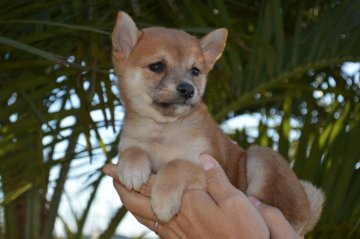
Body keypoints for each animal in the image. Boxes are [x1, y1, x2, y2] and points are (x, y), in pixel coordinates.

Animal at [111, 11, 324, 235]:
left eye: (195, 71)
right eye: (157, 66)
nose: (188, 89)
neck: (163, 129)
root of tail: (307, 213)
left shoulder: (204, 166)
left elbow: (177, 165)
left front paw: (164, 198)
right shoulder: (131, 143)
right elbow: (132, 150)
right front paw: (132, 167)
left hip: (262, 156)